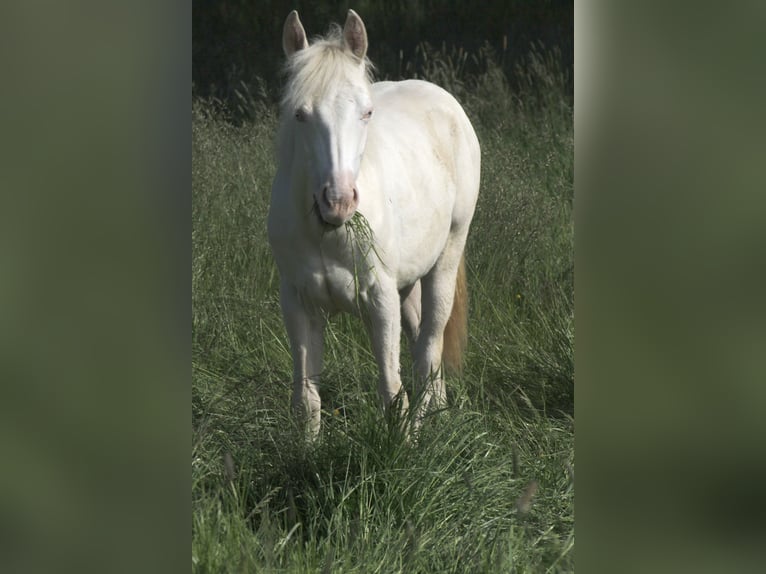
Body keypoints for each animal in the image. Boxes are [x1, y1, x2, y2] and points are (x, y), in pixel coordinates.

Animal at [270, 9, 480, 436]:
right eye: (300, 115)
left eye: (366, 113)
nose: (338, 202)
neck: (326, 232)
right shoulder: (298, 303)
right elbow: (307, 399)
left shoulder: (380, 298)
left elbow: (391, 391)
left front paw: (405, 444)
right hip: (408, 283)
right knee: (420, 339)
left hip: (447, 257)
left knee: (430, 344)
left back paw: (428, 423)